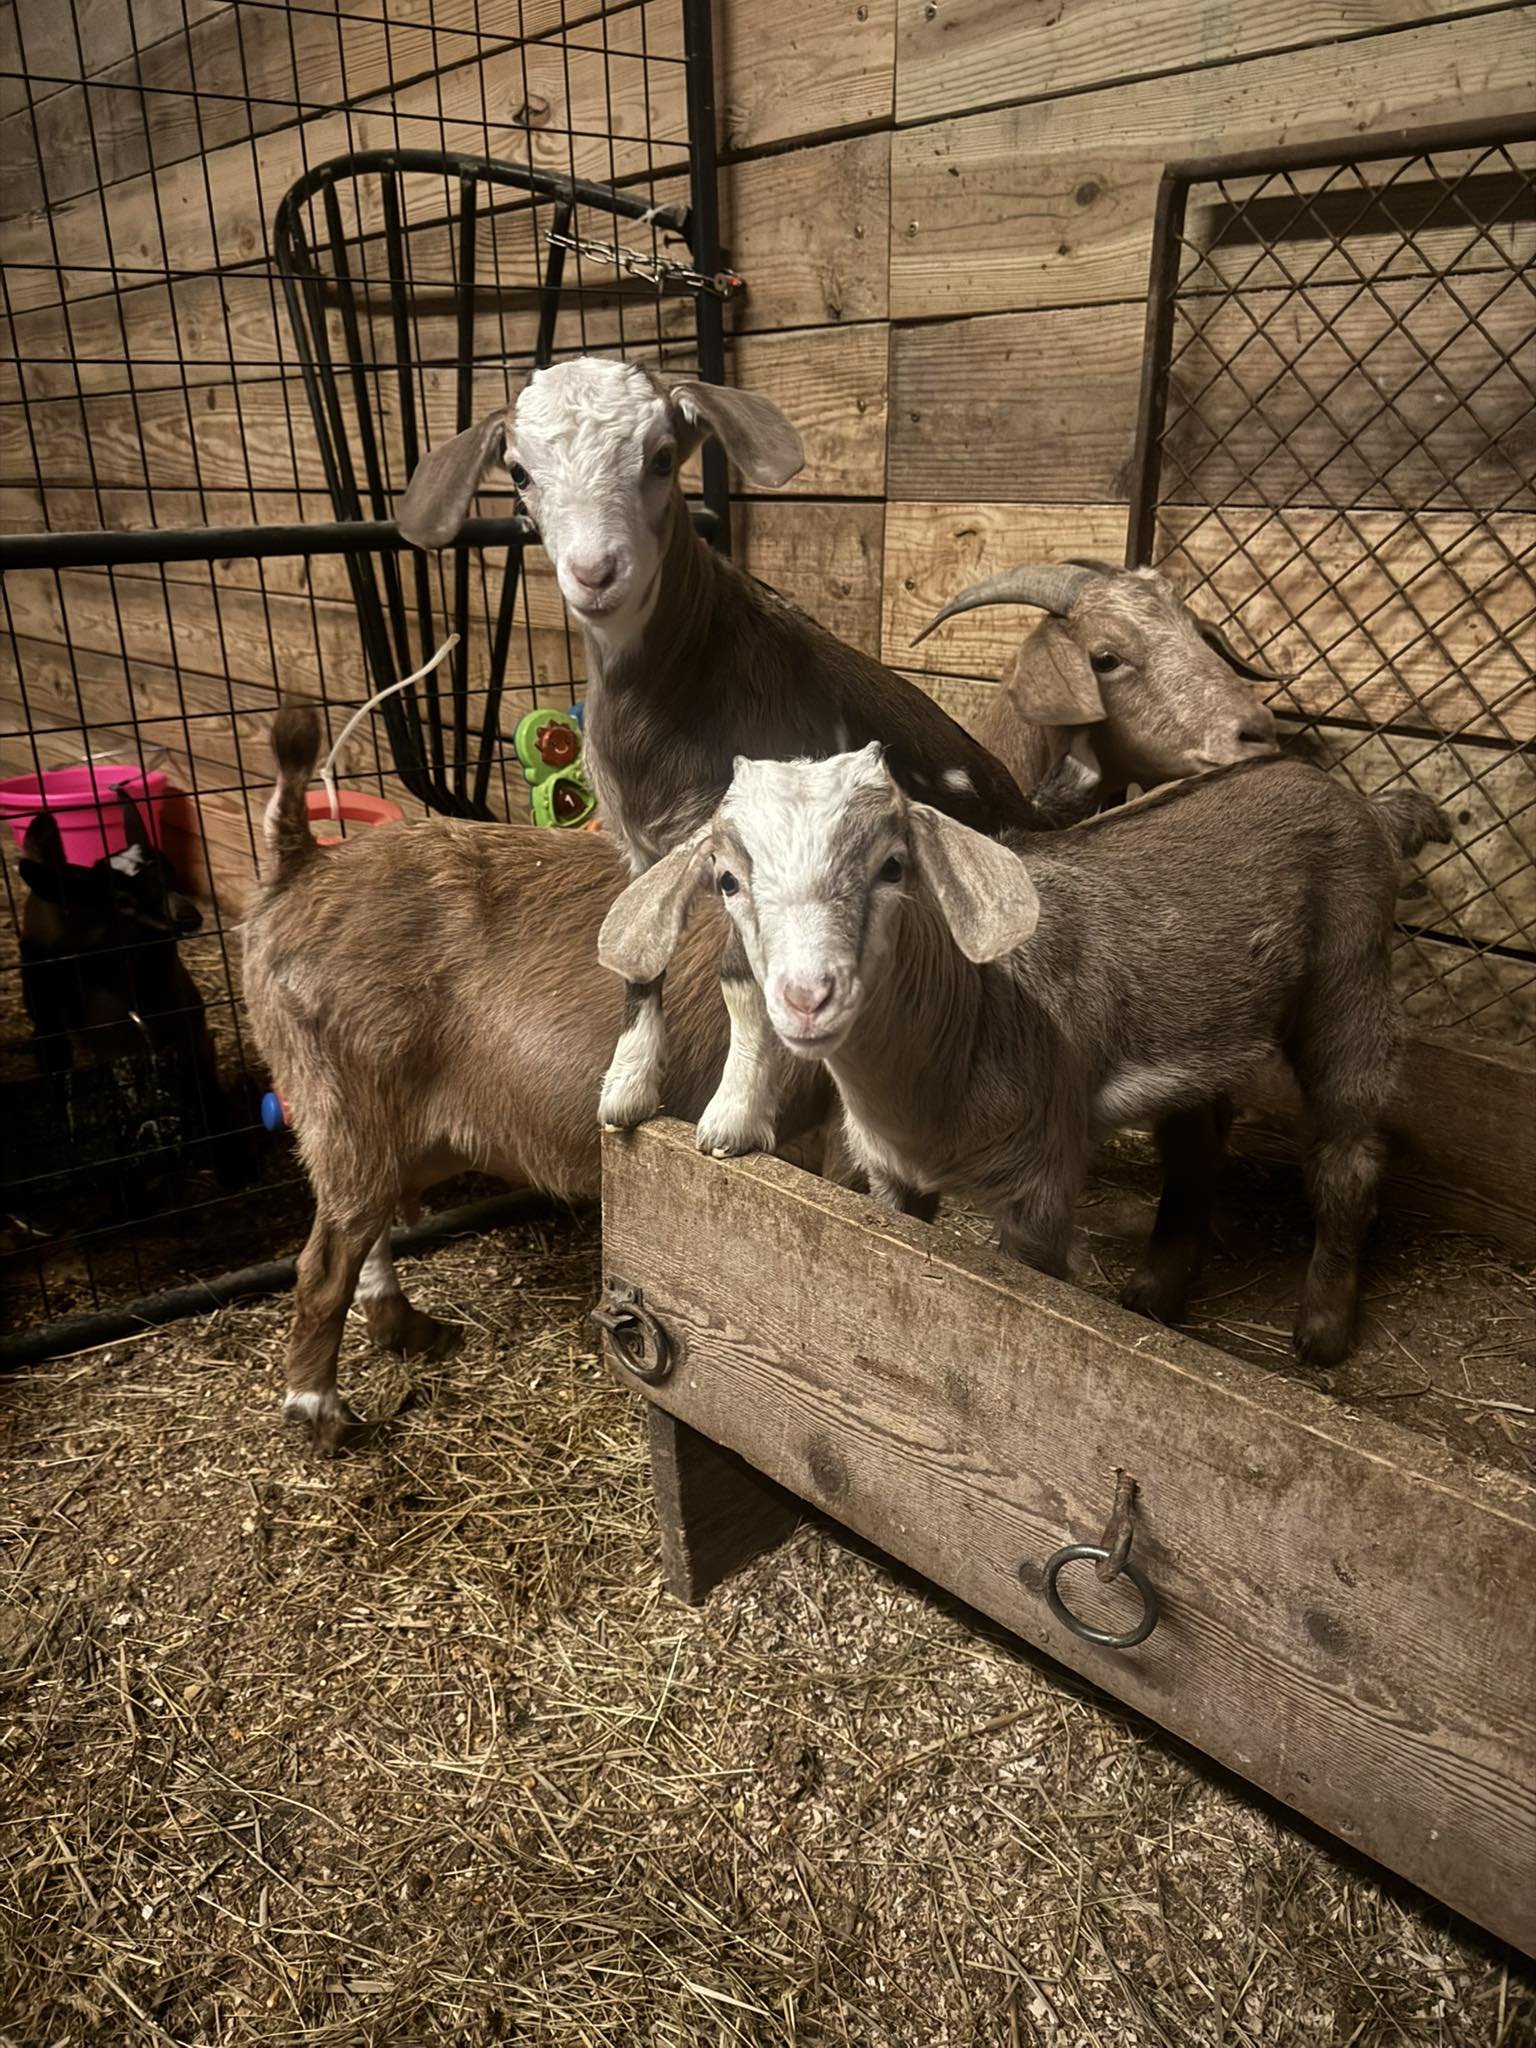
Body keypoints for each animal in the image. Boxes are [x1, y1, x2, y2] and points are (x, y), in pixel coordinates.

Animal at [398, 356, 1091, 1166]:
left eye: (662, 457)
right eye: (519, 473)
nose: (595, 573)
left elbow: (742, 979)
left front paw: (732, 1118)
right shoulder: (639, 847)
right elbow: (638, 951)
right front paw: (625, 1091)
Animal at [600, 746, 1452, 1369]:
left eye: (892, 866)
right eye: (727, 880)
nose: (808, 996)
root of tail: (1357, 798)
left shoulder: (1039, 1179)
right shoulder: (891, 1176)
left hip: (1351, 967)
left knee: (1348, 1147)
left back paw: (1322, 1331)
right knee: (1196, 1141)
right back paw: (1156, 1290)